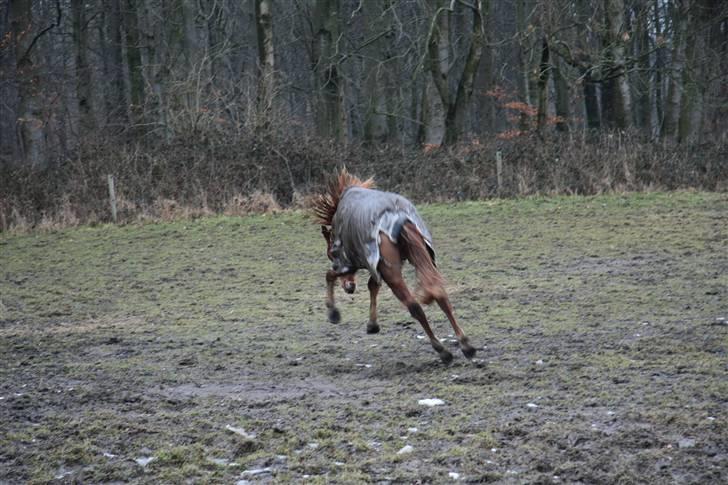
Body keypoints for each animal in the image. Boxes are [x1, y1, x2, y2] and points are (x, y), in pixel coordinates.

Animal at [310, 168, 474, 362]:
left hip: (391, 274)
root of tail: (399, 217)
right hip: (423, 259)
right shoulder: (375, 265)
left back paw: (442, 350)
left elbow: (330, 275)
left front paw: (333, 312)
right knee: (441, 295)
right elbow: (372, 285)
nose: (349, 287)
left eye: (330, 253)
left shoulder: (350, 262)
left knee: (414, 306)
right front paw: (372, 325)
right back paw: (466, 345)